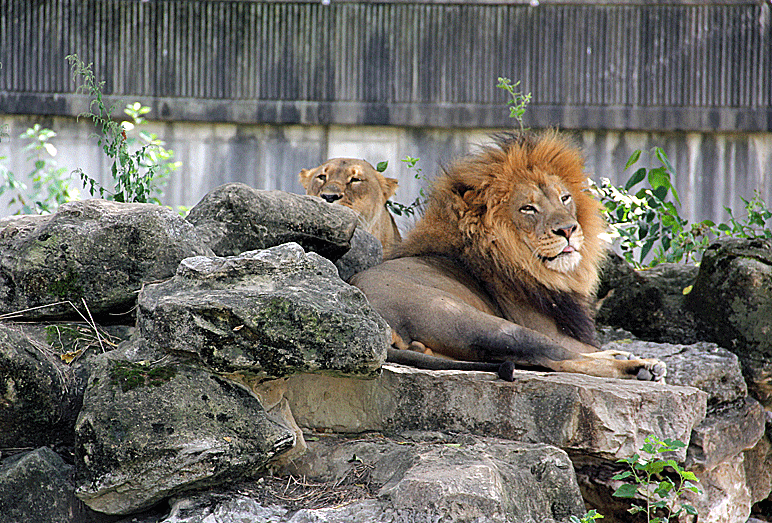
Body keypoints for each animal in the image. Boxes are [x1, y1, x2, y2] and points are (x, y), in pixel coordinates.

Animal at [350, 131, 666, 381]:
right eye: (528, 208)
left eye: (564, 198)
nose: (568, 229)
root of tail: (381, 324)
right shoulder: (544, 326)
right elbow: (578, 349)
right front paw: (629, 359)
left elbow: (589, 347)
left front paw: (620, 352)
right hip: (485, 323)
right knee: (556, 358)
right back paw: (642, 367)